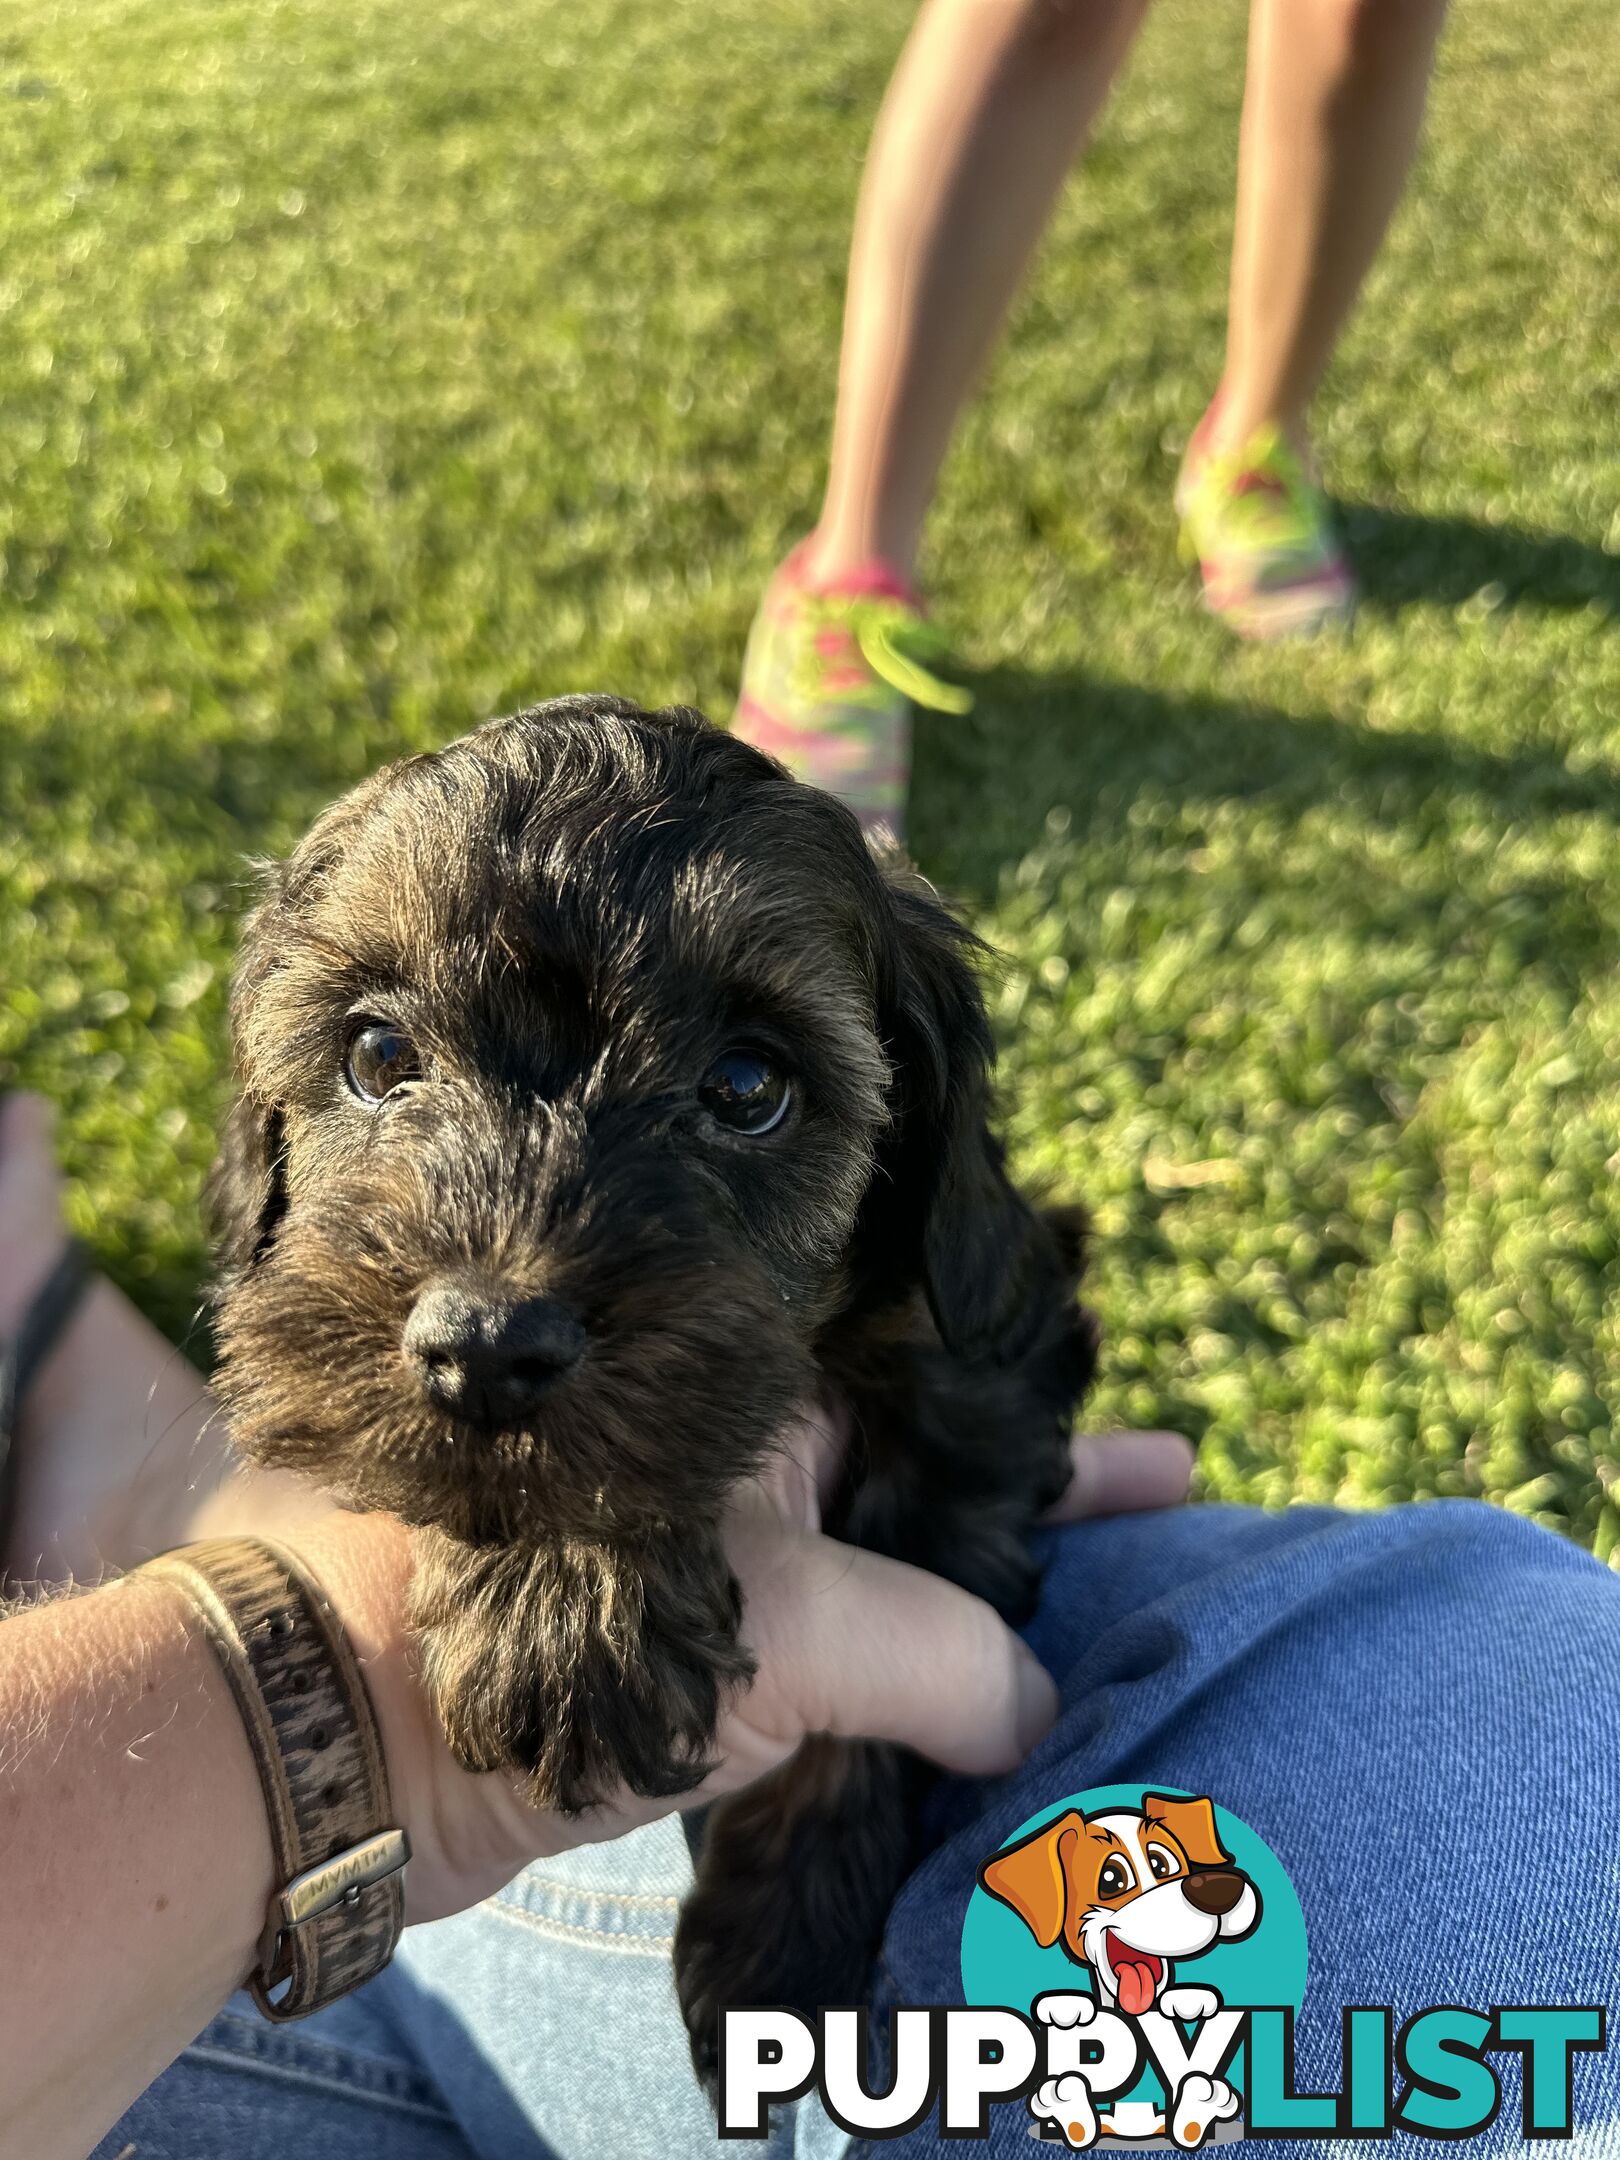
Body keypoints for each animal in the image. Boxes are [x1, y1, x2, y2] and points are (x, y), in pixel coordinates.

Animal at [209, 691, 1097, 2073]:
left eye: (747, 1086)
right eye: (378, 1054)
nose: (488, 1343)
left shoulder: (981, 1384)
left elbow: (875, 1698)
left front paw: (780, 1944)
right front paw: (558, 1604)